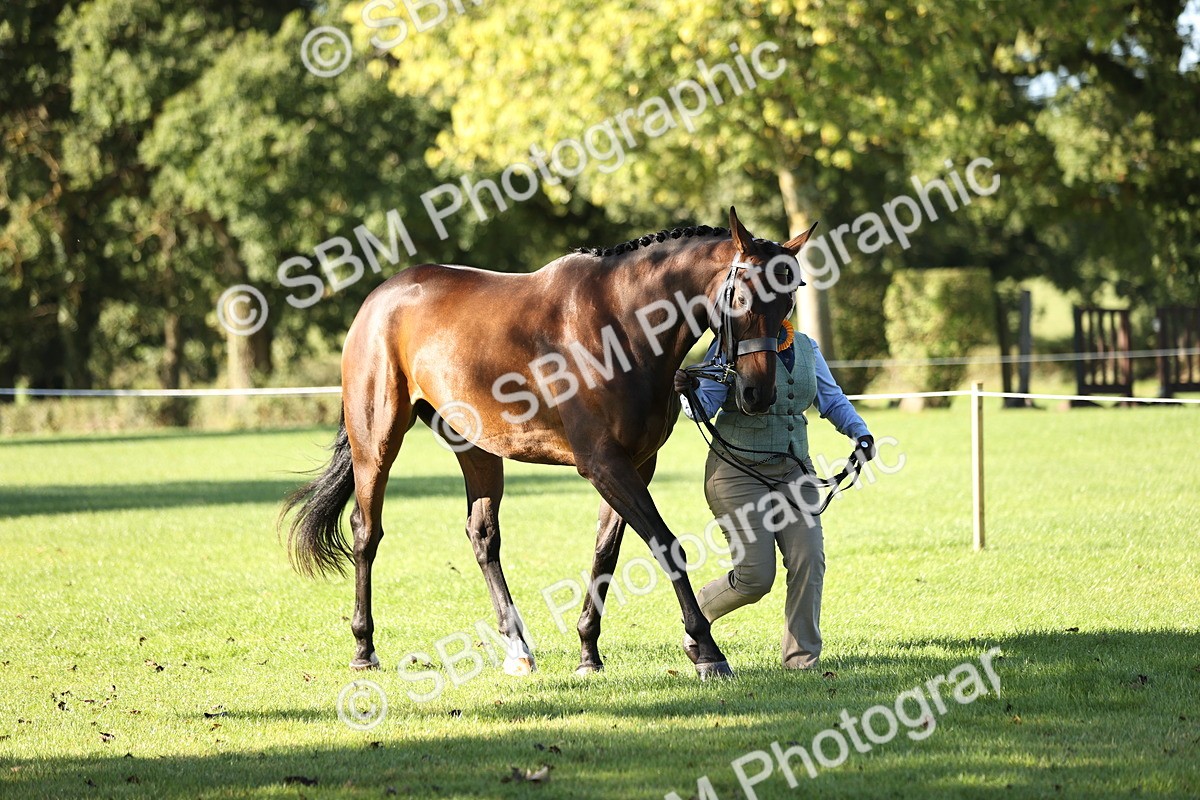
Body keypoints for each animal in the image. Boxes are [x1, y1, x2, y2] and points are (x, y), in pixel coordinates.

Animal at [279, 207, 816, 679]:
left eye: (787, 301)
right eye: (743, 298)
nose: (757, 394)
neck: (622, 325)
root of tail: (380, 297)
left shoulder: (635, 464)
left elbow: (606, 554)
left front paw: (588, 653)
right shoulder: (603, 463)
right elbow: (665, 545)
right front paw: (706, 651)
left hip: (475, 445)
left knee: (483, 535)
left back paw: (517, 649)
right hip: (377, 440)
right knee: (366, 533)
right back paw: (364, 648)